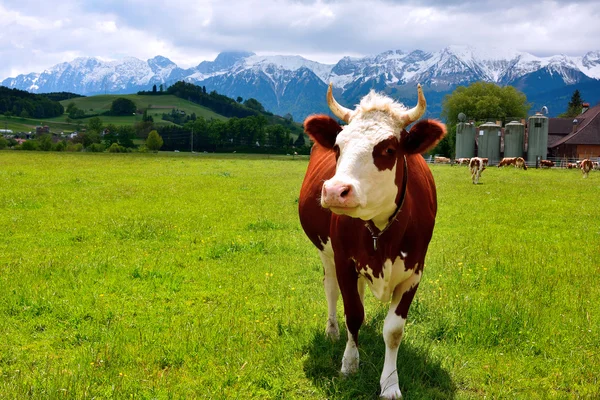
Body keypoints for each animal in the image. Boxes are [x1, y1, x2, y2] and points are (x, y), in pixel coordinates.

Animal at [298, 83, 446, 398]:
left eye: (388, 149)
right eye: (338, 147)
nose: (335, 190)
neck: (380, 231)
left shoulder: (414, 272)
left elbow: (393, 330)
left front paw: (390, 383)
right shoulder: (344, 260)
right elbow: (352, 313)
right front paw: (349, 364)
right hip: (326, 252)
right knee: (332, 290)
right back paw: (333, 331)